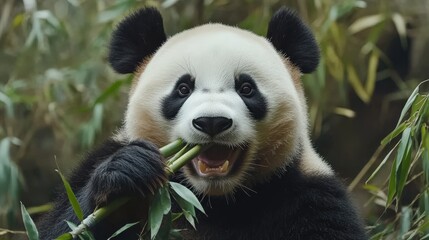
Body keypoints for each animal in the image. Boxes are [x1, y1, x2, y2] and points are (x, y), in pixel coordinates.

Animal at [38, 6, 368, 239]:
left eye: (246, 88)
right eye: (183, 89)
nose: (212, 122)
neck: (212, 201)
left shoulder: (311, 196)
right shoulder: (101, 162)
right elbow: (66, 224)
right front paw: (128, 171)